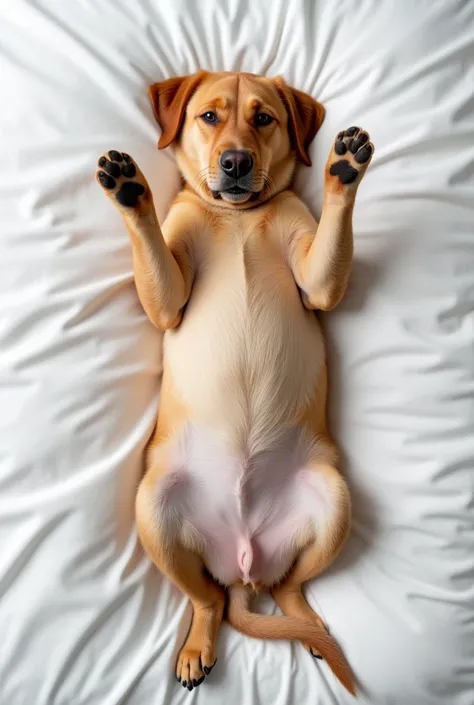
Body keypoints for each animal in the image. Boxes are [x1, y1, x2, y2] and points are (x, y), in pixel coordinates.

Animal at [95, 69, 374, 696]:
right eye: (209, 117)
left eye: (263, 118)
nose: (236, 162)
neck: (239, 216)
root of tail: (243, 561)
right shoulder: (168, 298)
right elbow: (154, 252)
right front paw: (131, 190)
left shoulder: (316, 277)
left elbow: (329, 251)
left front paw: (344, 168)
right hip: (154, 511)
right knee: (208, 602)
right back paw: (197, 645)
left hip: (334, 502)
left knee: (287, 589)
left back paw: (306, 625)